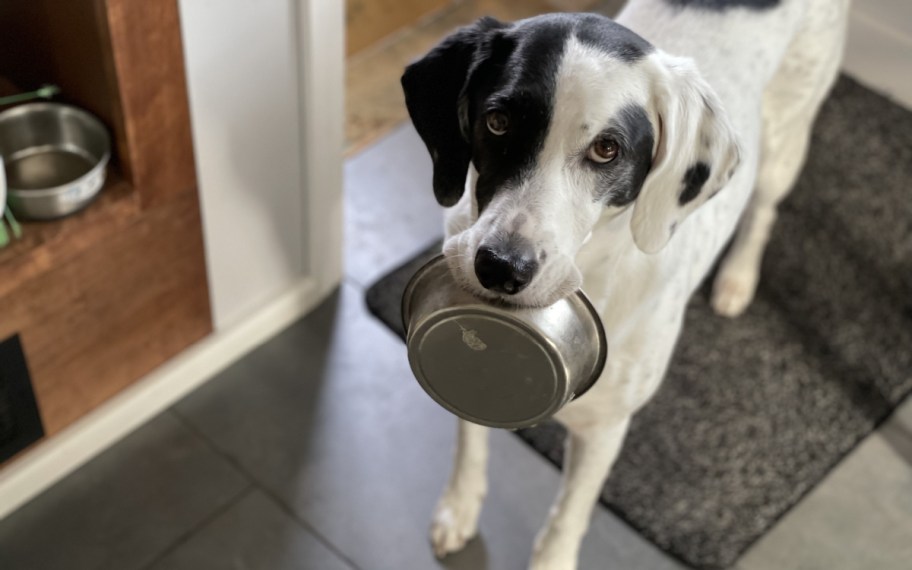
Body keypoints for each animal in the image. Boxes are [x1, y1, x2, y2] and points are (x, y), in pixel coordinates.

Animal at [402, 2, 852, 564]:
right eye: (497, 121)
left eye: (606, 149)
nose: (501, 267)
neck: (593, 268)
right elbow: (469, 439)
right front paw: (459, 507)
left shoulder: (605, 428)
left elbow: (567, 517)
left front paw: (551, 558)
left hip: (785, 142)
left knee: (764, 208)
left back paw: (737, 279)